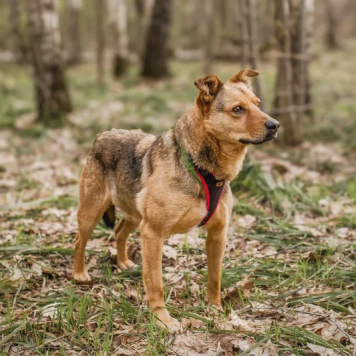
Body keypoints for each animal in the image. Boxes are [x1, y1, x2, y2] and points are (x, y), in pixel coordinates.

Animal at [71, 69, 278, 330]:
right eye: (238, 109)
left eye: (258, 105)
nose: (275, 125)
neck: (201, 167)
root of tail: (102, 134)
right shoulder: (152, 233)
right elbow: (155, 283)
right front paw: (162, 319)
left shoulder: (217, 234)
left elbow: (215, 277)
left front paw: (215, 308)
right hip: (92, 211)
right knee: (80, 240)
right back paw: (79, 274)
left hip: (134, 213)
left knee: (119, 231)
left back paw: (123, 262)